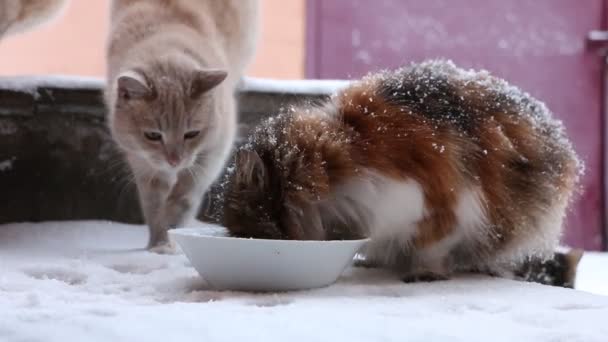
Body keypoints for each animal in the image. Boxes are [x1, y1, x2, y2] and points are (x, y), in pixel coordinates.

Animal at [107, 0, 258, 251]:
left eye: (192, 134)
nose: (174, 161)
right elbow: (153, 206)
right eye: (153, 135)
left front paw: (172, 229)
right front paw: (158, 245)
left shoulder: (213, 153)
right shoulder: (143, 162)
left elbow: (184, 197)